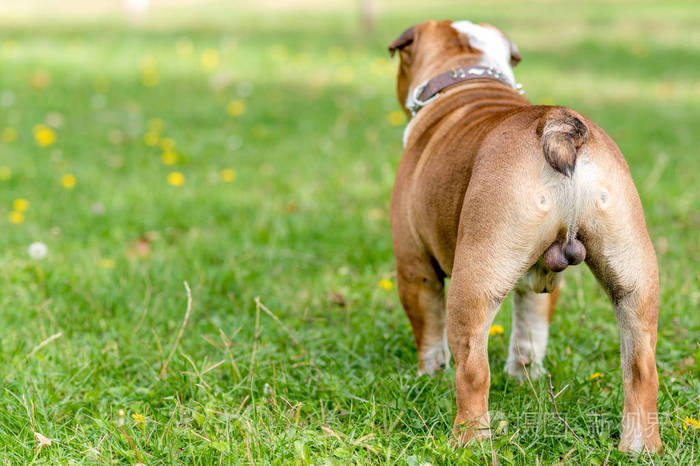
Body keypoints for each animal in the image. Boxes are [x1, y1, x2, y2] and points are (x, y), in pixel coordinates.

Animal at [388, 20, 660, 454]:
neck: (470, 72)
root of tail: (558, 123)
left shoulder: (415, 268)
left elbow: (429, 336)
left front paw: (428, 376)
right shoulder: (540, 285)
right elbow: (530, 334)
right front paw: (524, 379)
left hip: (473, 280)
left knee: (472, 369)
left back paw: (469, 443)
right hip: (633, 278)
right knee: (641, 367)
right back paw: (641, 447)